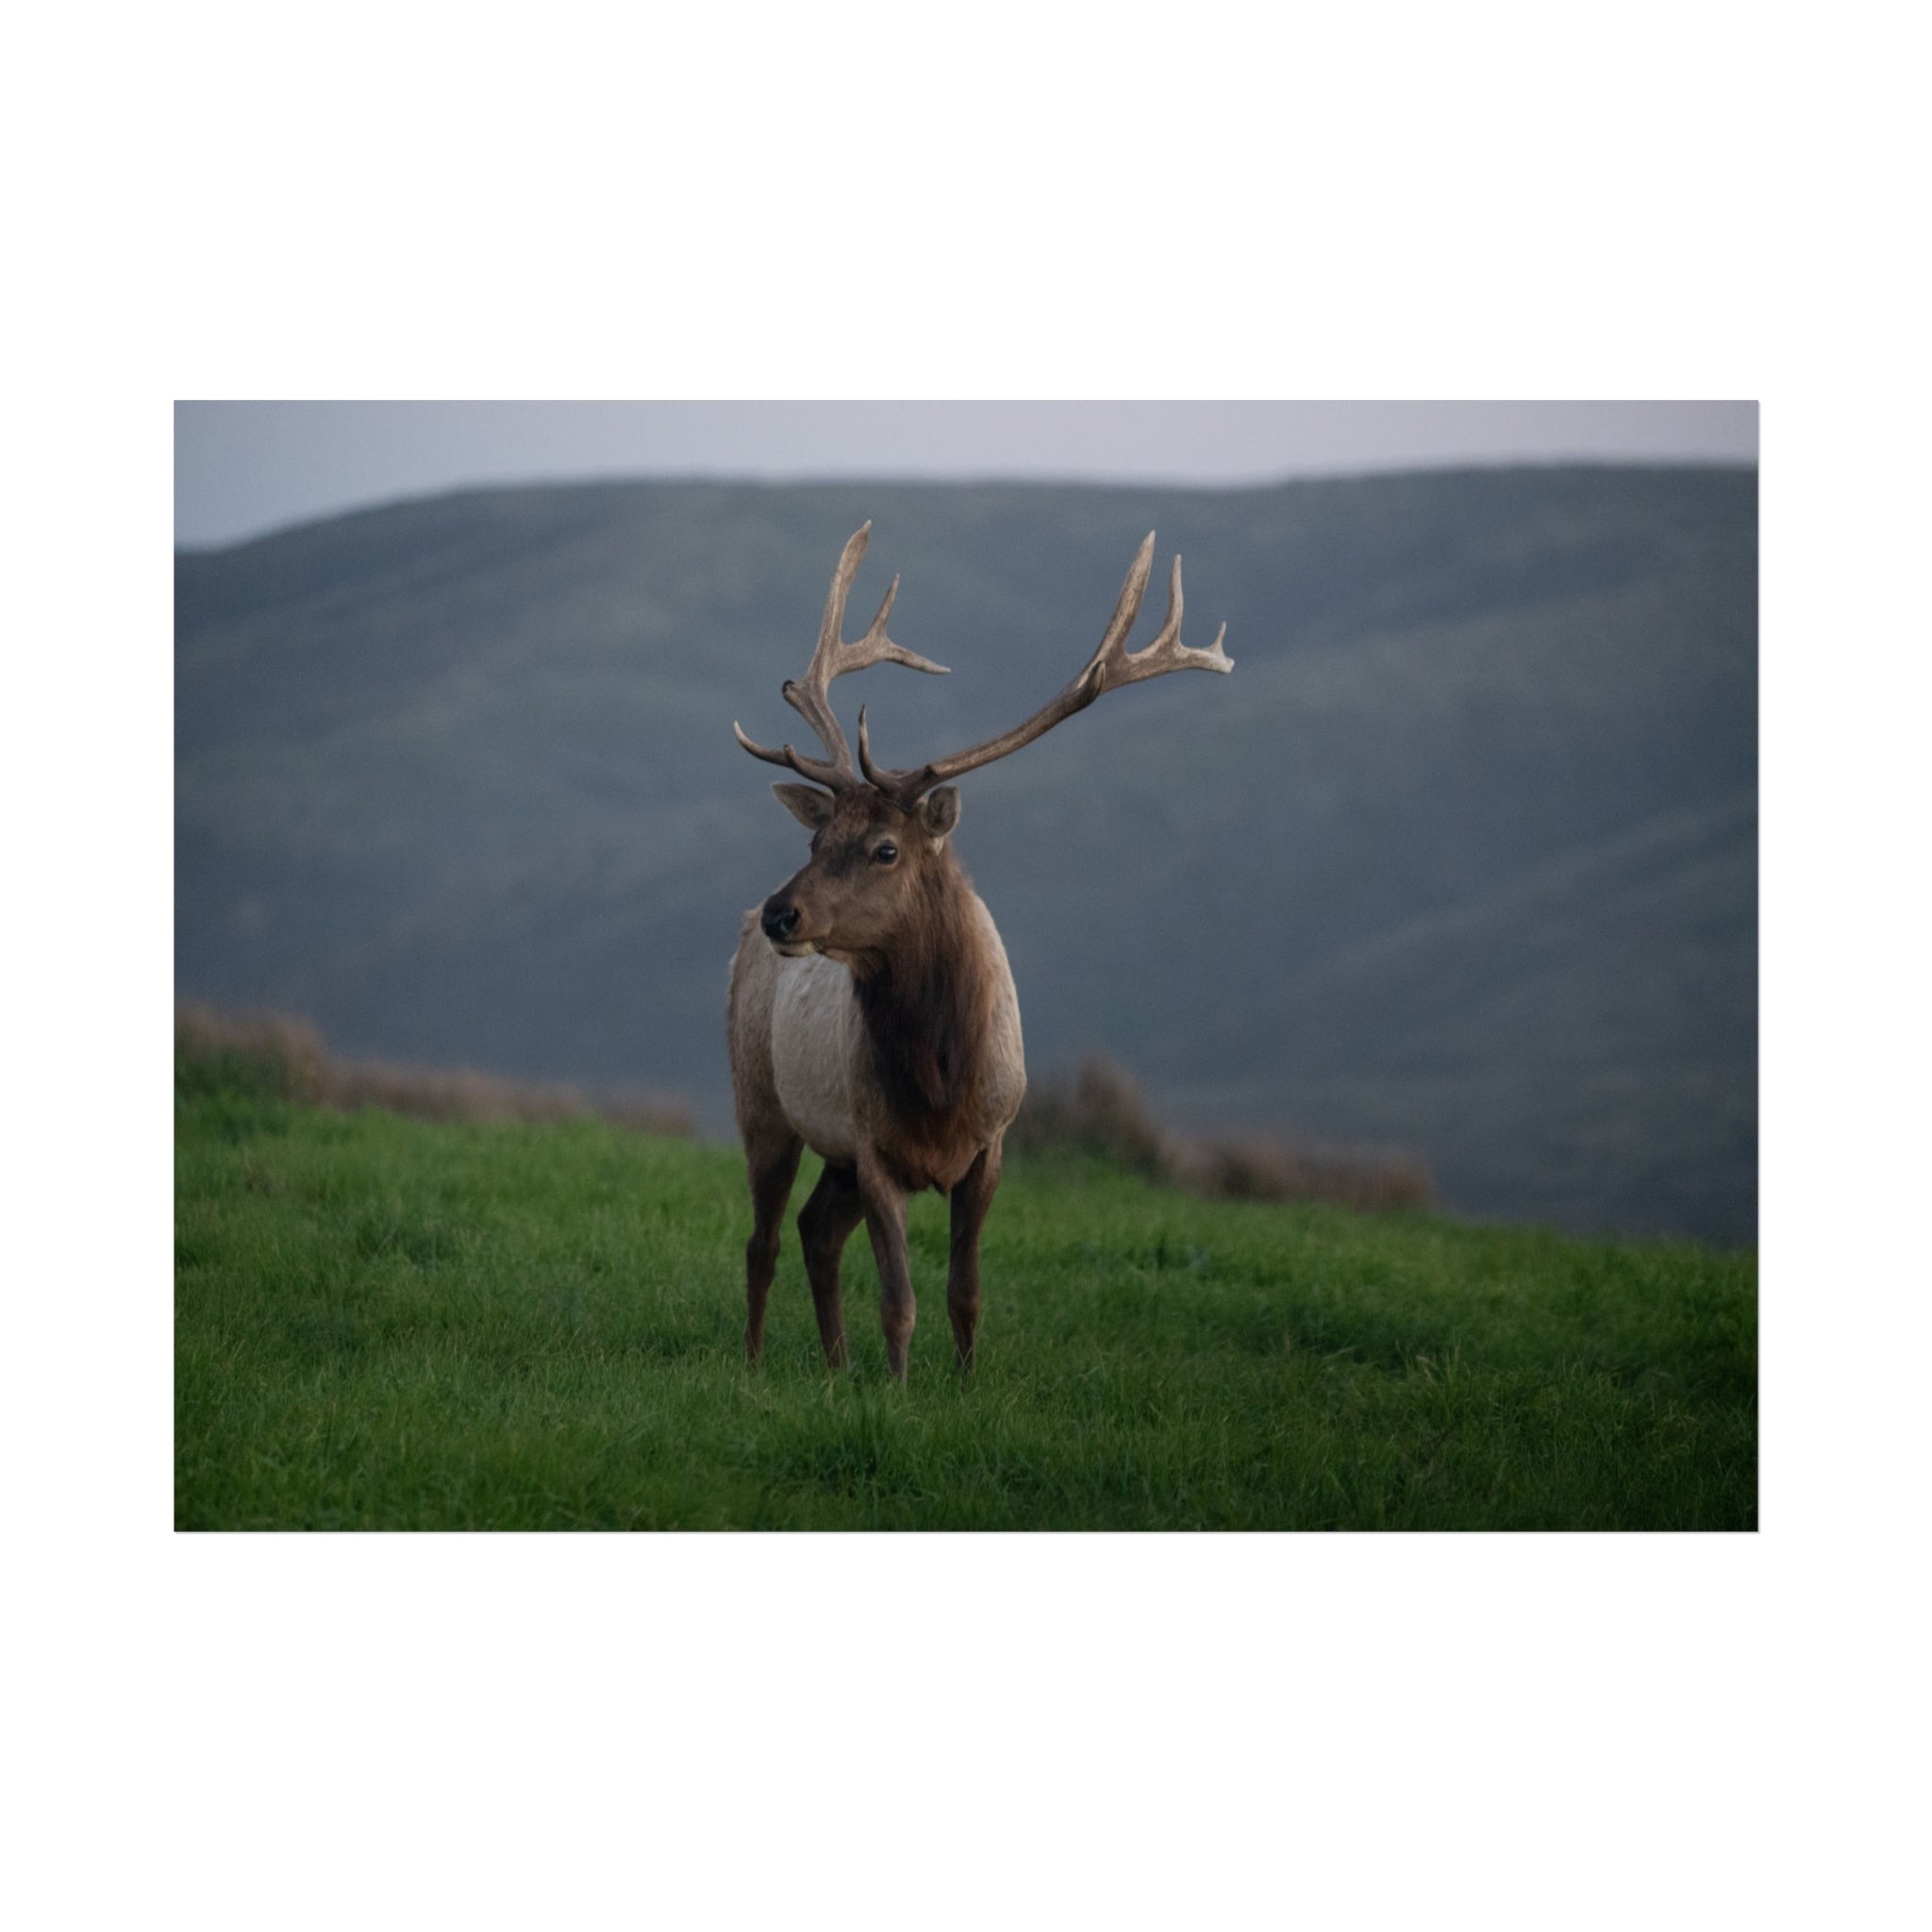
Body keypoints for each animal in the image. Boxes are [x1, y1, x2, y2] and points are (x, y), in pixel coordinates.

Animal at [726, 522, 1231, 1380]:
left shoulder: (991, 1144)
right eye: (815, 840)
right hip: (761, 1103)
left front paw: (960, 1386)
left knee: (813, 1231)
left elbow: (965, 1293)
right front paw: (897, 1392)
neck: (940, 1079)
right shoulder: (874, 1146)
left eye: (885, 848)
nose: (780, 915)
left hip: (830, 1149)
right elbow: (899, 1301)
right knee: (763, 1240)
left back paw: (835, 1366)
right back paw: (760, 1366)